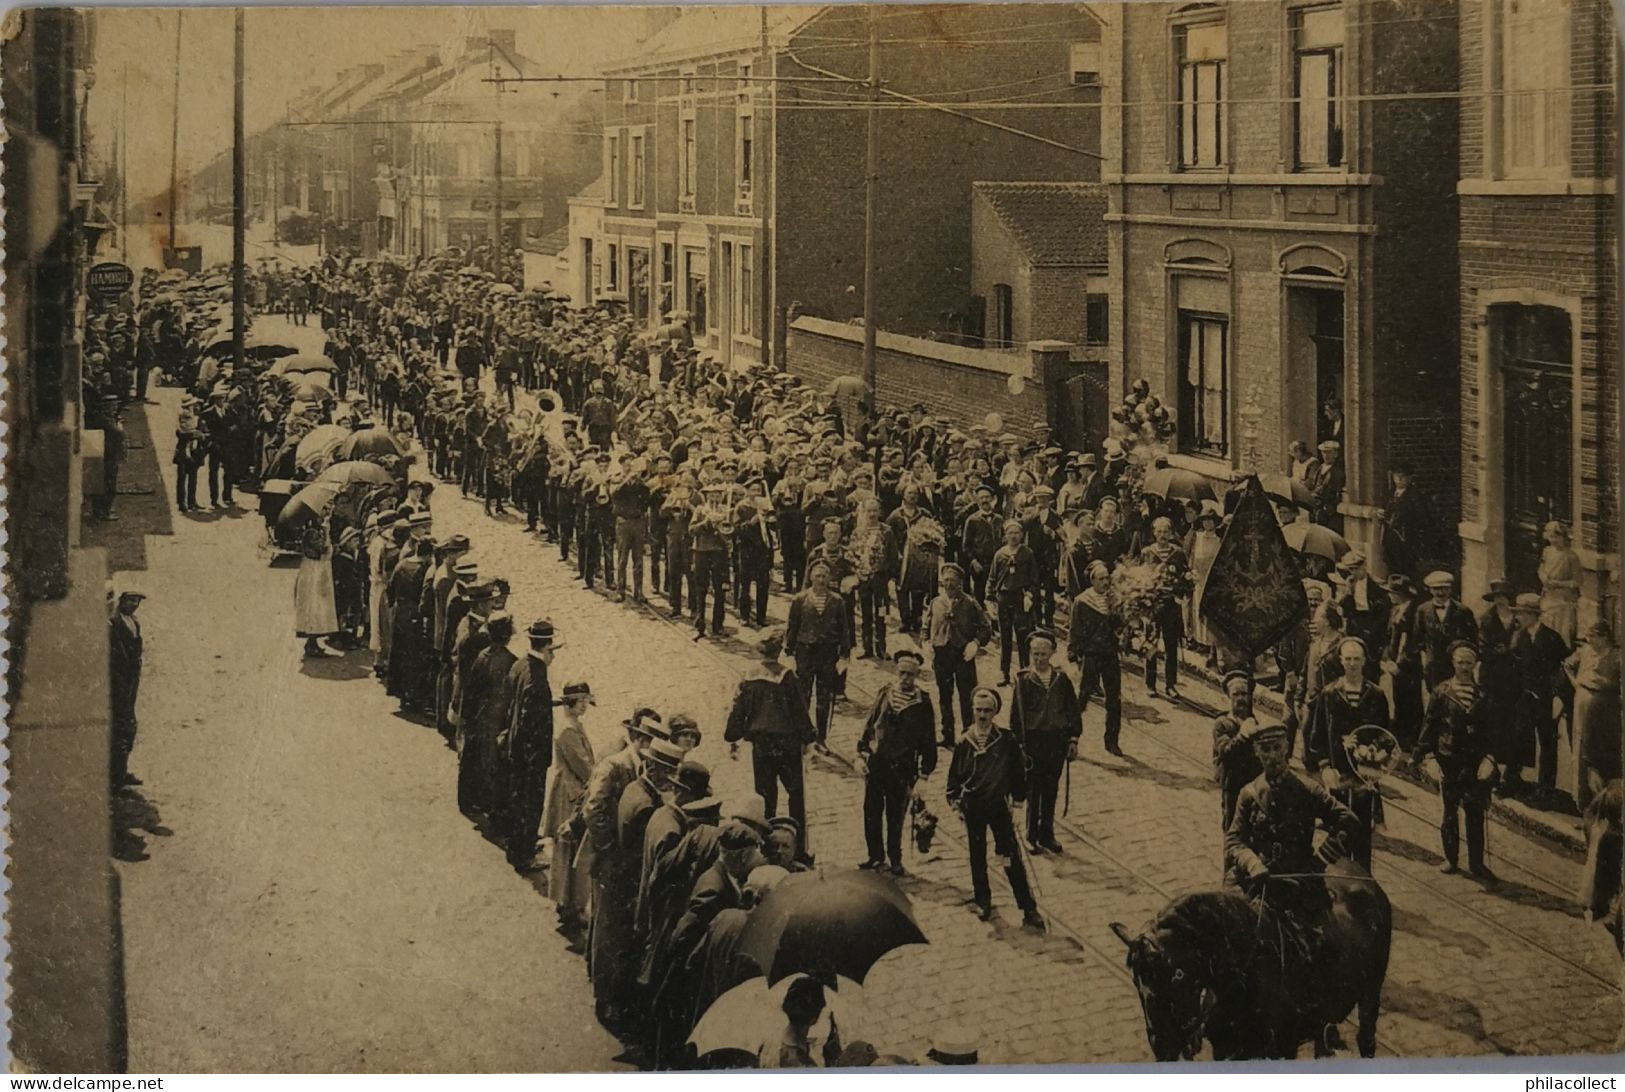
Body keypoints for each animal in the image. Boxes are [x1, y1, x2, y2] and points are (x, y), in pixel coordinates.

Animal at [1111, 864, 1391, 1059]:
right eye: (1136, 982)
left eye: (1177, 975)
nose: (1162, 1047)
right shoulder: (1226, 1050)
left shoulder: (1282, 1048)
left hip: (1371, 995)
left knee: (1366, 1038)